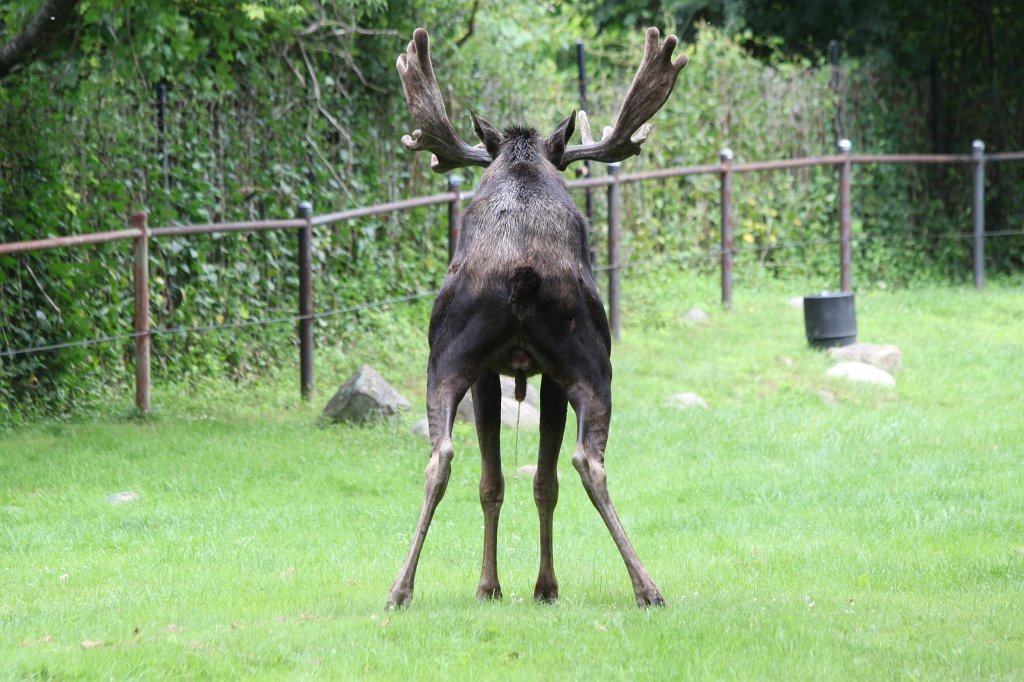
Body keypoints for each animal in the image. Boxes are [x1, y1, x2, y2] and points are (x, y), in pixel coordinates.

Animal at [386, 27, 688, 609]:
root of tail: (522, 273)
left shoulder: (498, 371)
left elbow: (503, 481)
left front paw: (500, 584)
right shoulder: (530, 373)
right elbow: (528, 481)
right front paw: (528, 585)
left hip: (452, 358)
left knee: (444, 457)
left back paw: (399, 588)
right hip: (578, 359)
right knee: (582, 461)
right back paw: (646, 586)